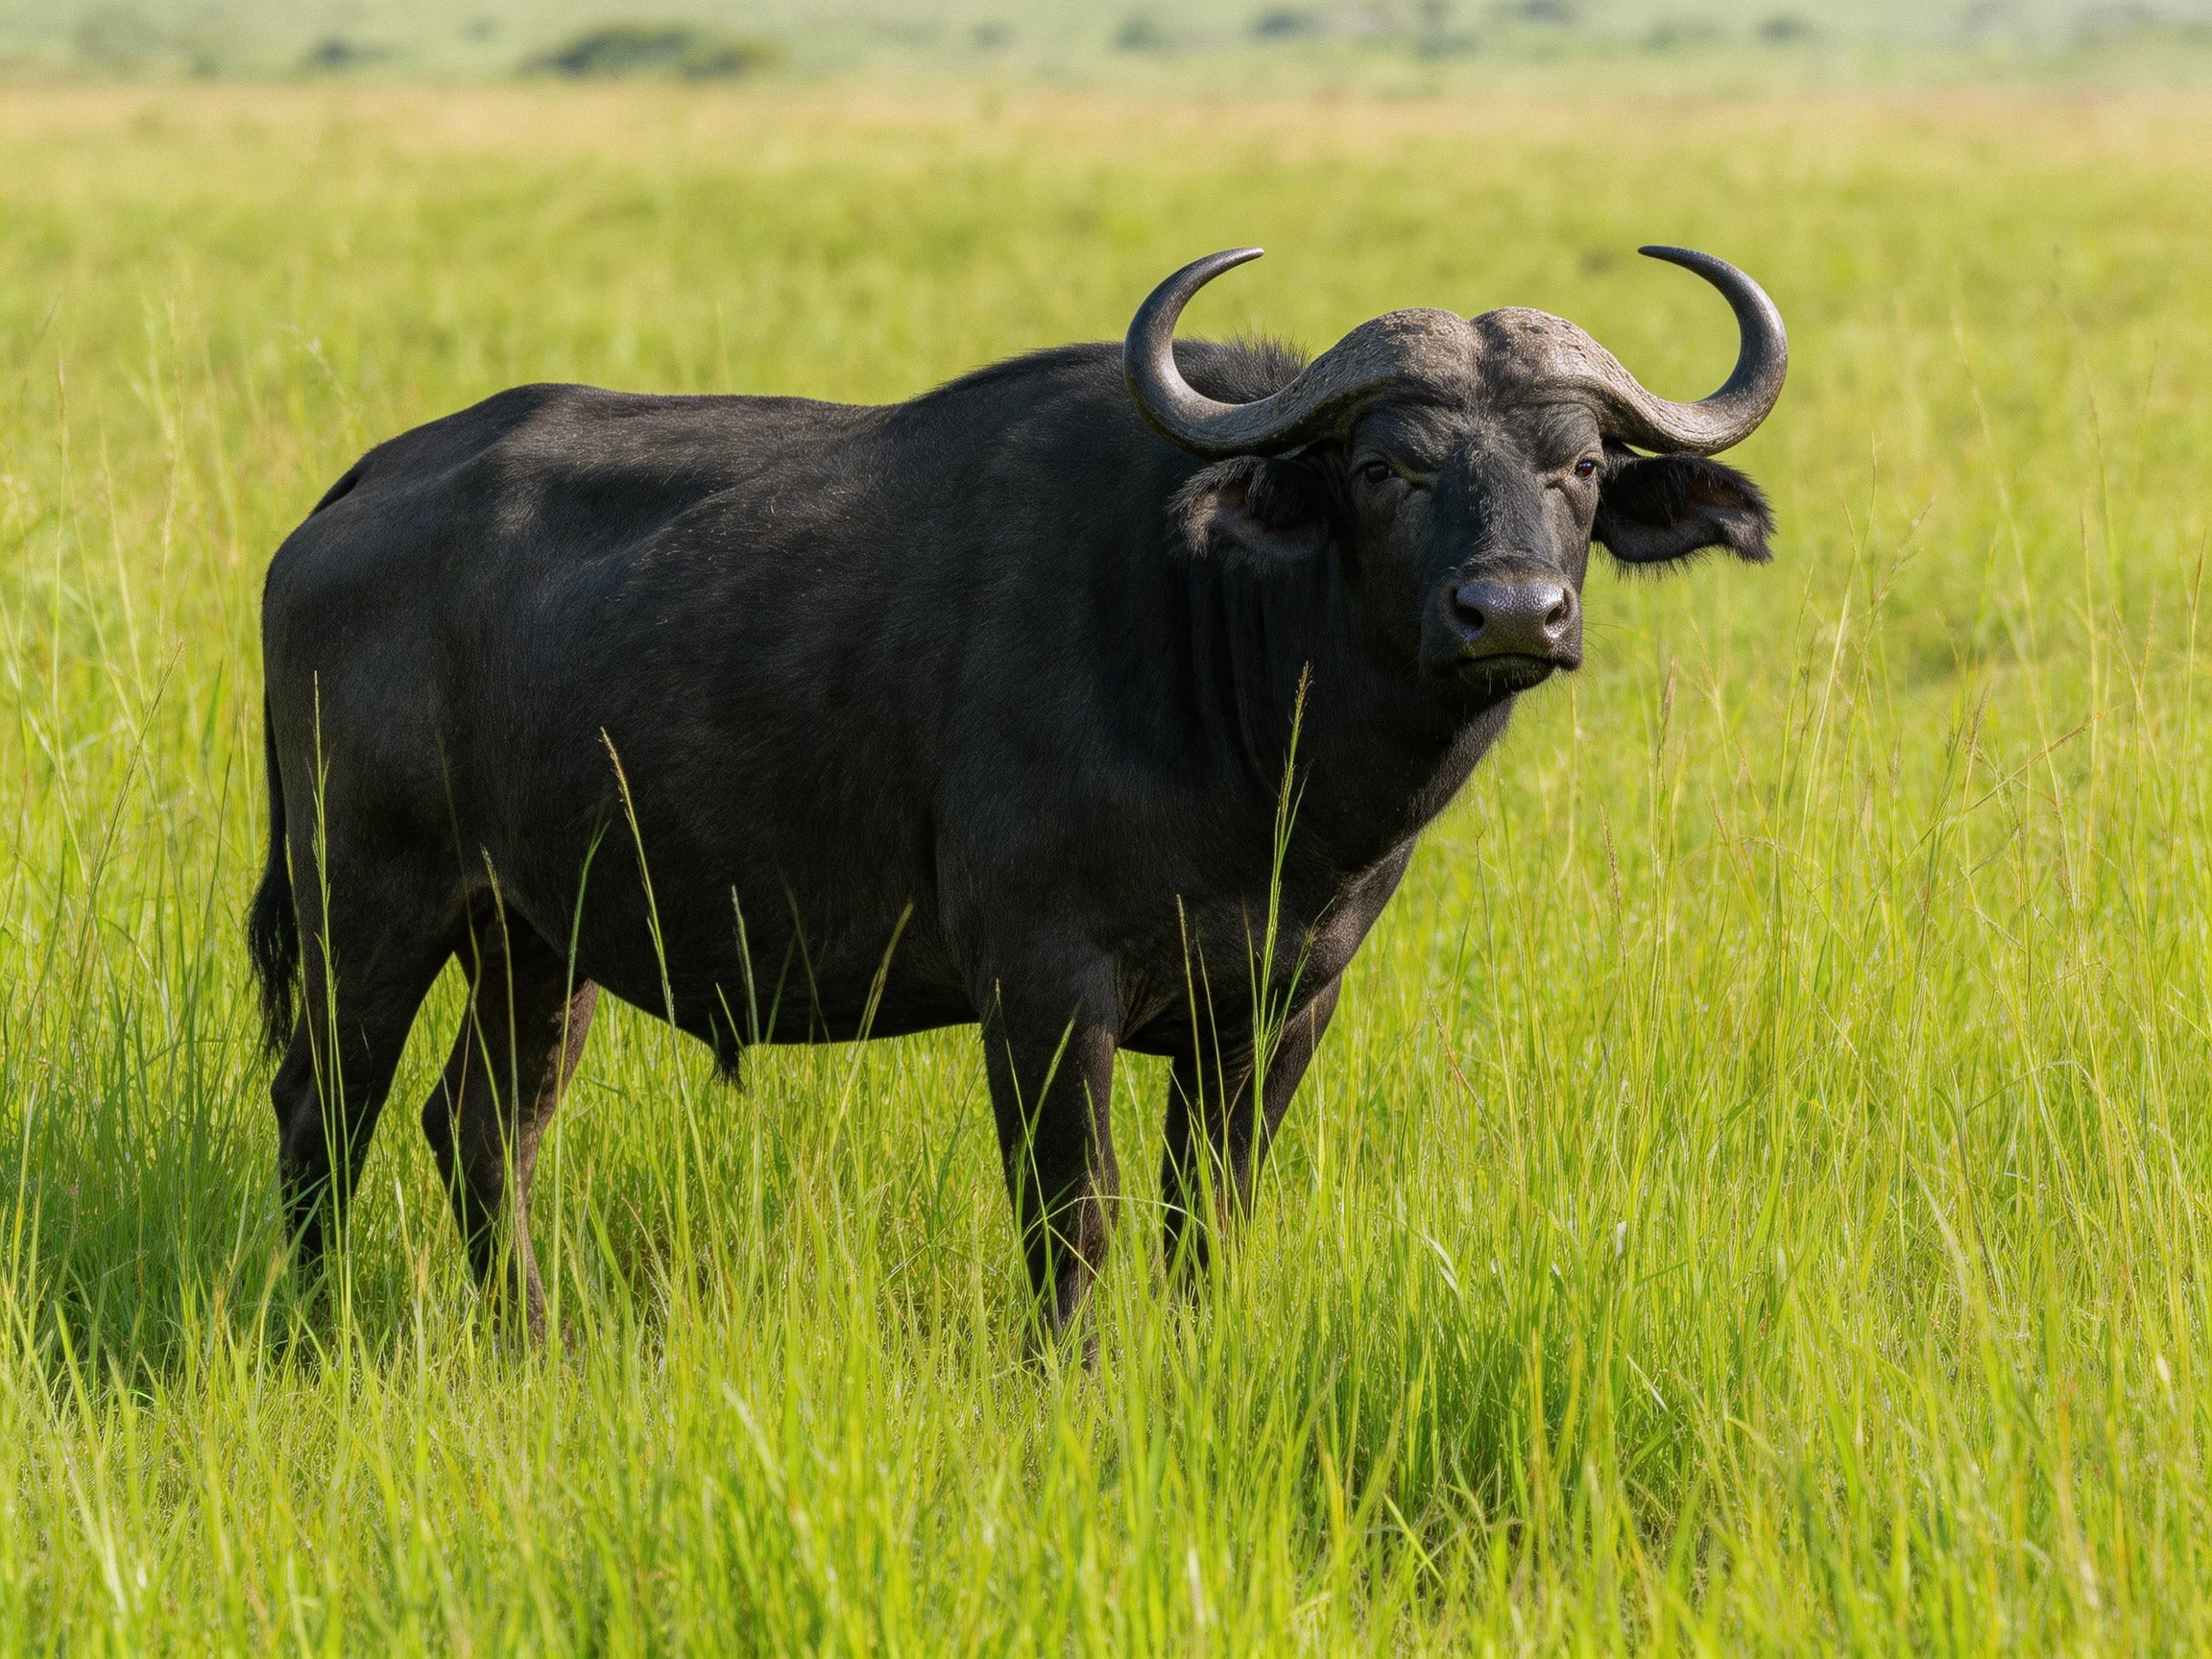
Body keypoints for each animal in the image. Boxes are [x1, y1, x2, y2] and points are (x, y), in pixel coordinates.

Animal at [250, 245, 1785, 1340]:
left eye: (1578, 466)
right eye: (1383, 465)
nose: (1511, 612)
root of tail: (362, 491)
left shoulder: (1283, 1005)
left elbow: (1206, 1221)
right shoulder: (1044, 989)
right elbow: (1074, 1217)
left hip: (537, 936)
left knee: (479, 1128)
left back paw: (533, 1337)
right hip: (364, 904)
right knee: (327, 1109)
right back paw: (314, 1333)